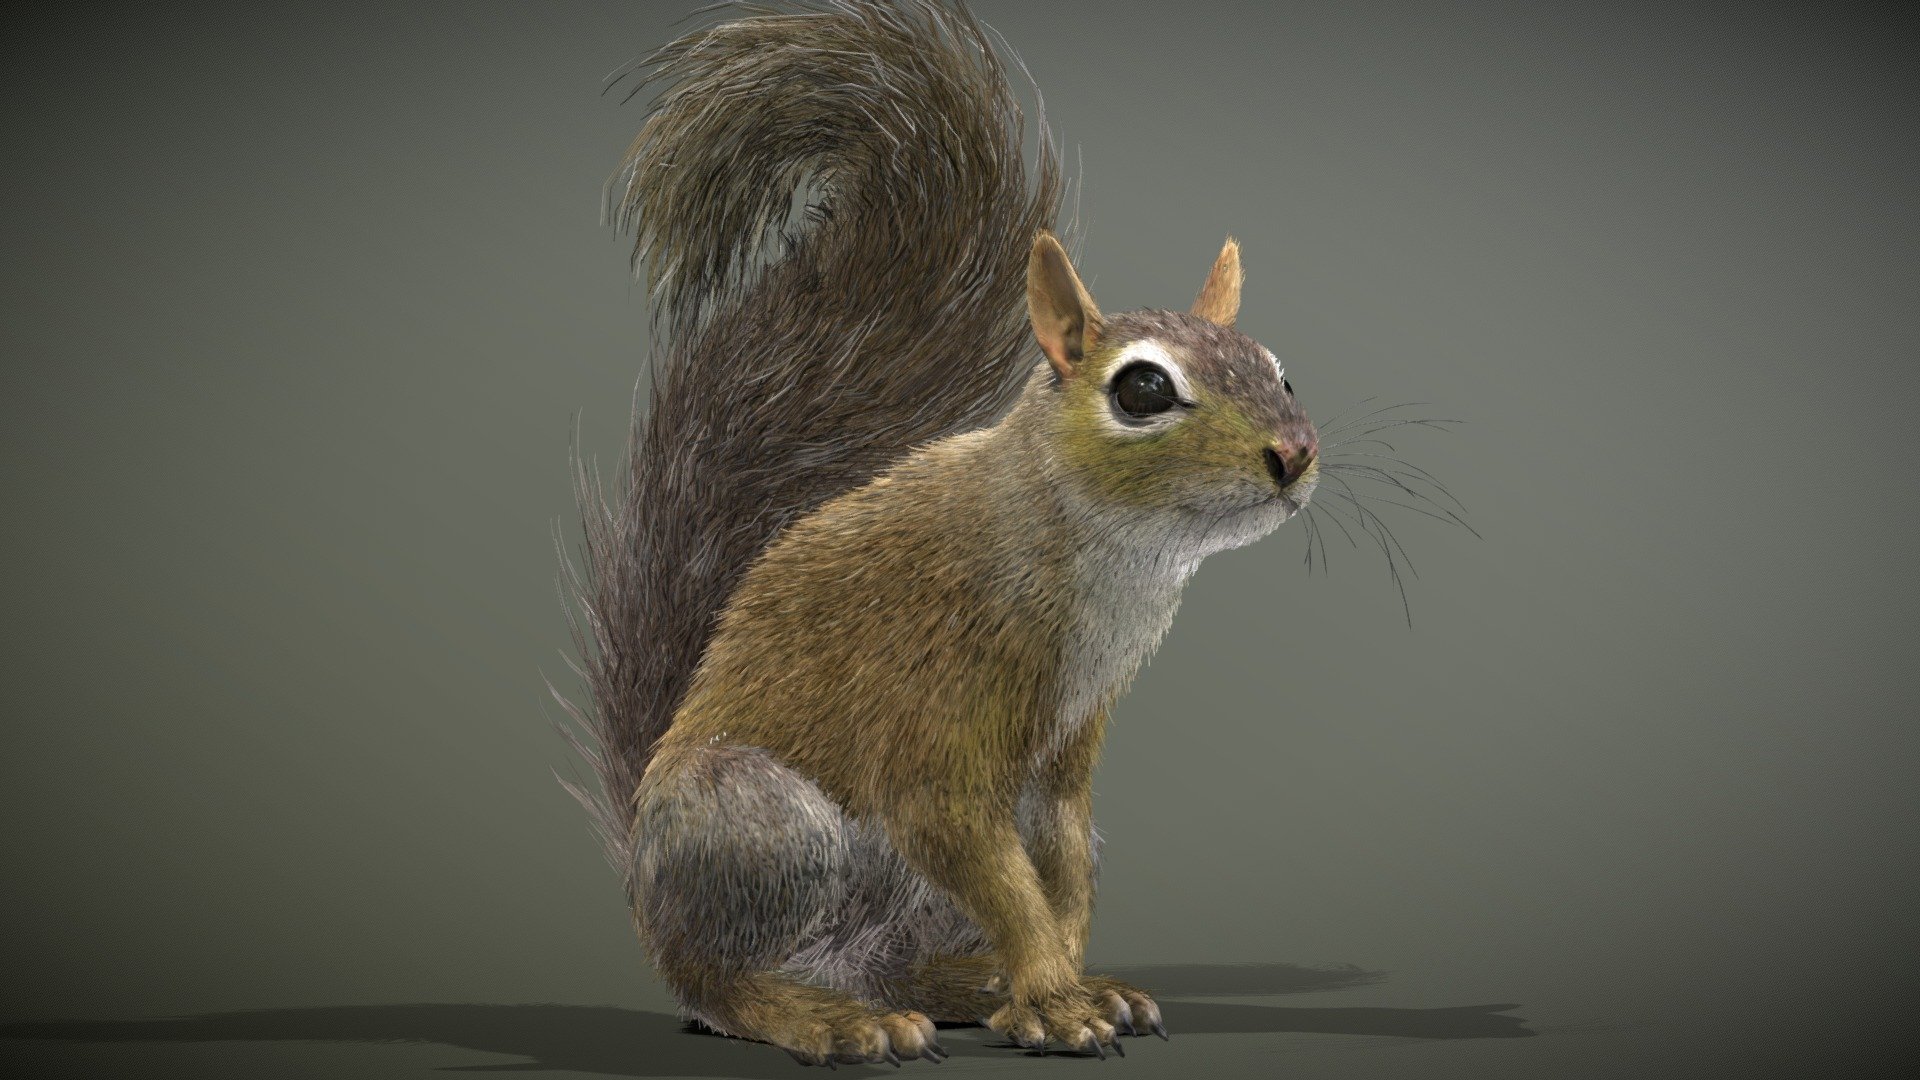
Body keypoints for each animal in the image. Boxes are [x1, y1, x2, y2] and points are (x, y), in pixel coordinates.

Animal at [556, 0, 1322, 1067]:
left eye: (1279, 369)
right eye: (1141, 389)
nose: (1295, 452)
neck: (1109, 565)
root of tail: (642, 858)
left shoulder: (1067, 752)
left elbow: (1060, 867)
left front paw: (1066, 984)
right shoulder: (932, 708)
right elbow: (976, 844)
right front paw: (1058, 997)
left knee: (889, 959)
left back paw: (969, 984)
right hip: (758, 818)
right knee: (714, 980)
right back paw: (825, 1018)